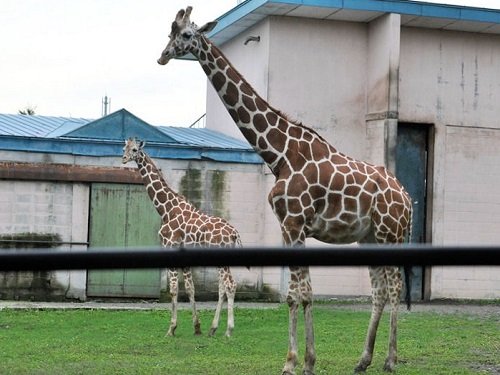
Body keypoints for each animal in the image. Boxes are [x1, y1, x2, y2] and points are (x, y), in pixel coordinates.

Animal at [120, 137, 238, 338]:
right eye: (123, 148)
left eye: (135, 149)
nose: (124, 159)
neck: (166, 209)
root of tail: (235, 234)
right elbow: (190, 289)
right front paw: (197, 327)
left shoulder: (169, 246)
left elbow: (174, 290)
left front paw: (171, 328)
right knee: (225, 287)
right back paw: (213, 328)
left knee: (229, 285)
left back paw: (229, 331)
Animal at [156, 7, 410, 374]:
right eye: (169, 34)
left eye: (187, 34)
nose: (162, 56)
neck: (279, 154)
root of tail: (407, 197)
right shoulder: (287, 227)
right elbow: (297, 293)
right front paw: (303, 360)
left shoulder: (294, 222)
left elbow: (300, 294)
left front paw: (296, 362)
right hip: (371, 237)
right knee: (378, 290)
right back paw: (363, 360)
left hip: (391, 234)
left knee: (393, 287)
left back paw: (390, 359)